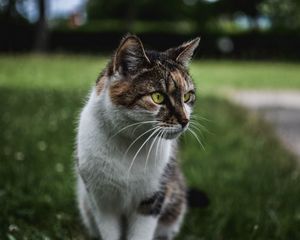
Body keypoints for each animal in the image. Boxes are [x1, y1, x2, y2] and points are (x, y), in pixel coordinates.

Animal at [76, 34, 200, 240]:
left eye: (187, 96)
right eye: (158, 97)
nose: (185, 120)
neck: (130, 145)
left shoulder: (152, 198)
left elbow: (141, 233)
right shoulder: (102, 201)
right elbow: (109, 233)